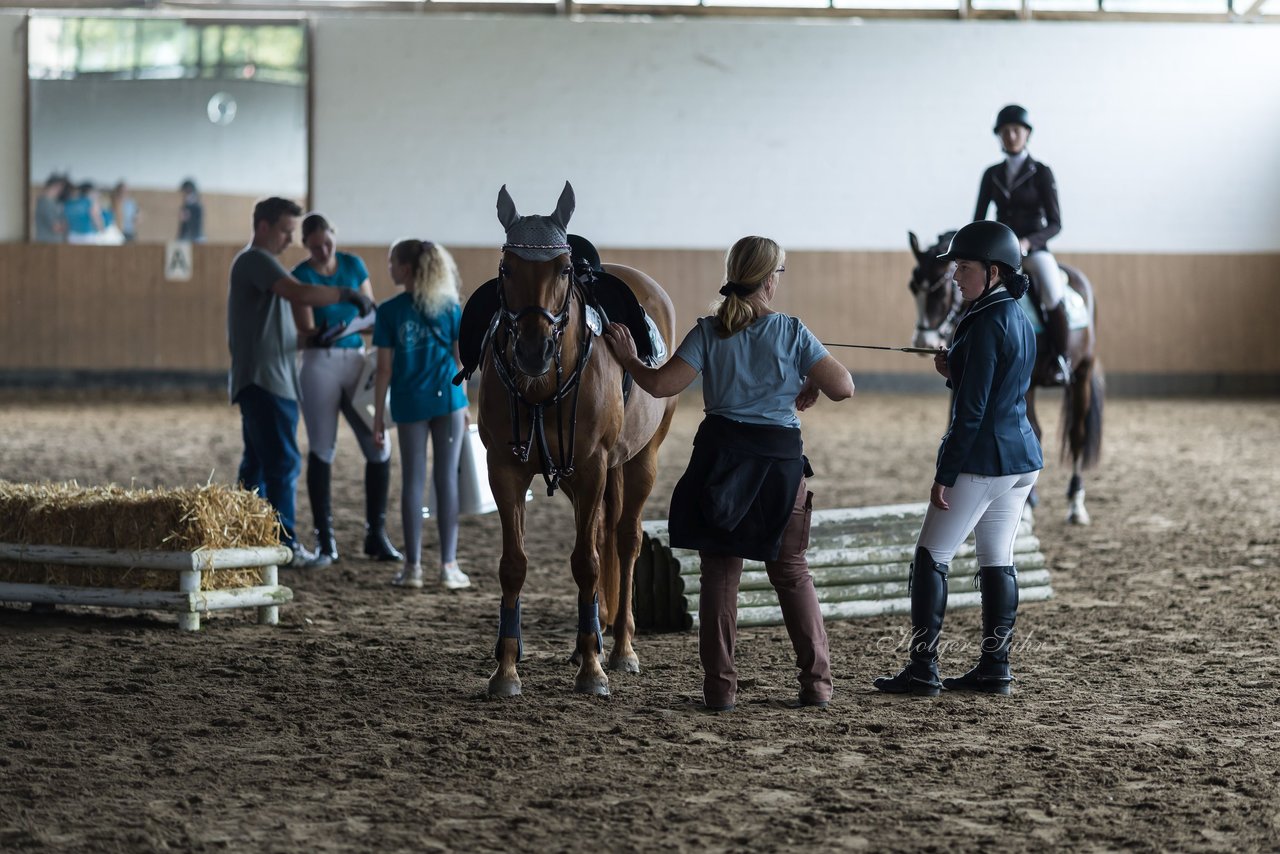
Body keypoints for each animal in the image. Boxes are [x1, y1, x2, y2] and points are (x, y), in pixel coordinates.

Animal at [481, 184, 680, 696]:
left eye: (564, 269)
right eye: (506, 267)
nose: (533, 350)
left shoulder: (592, 467)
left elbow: (588, 562)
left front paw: (593, 670)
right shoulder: (504, 469)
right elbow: (513, 563)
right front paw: (506, 668)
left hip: (640, 460)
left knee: (625, 539)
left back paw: (621, 647)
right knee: (601, 531)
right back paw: (586, 640)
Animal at [906, 230, 1105, 524]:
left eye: (941, 289)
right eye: (913, 288)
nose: (923, 342)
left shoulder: (1025, 381)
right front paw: (1027, 504)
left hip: (1082, 373)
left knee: (1077, 434)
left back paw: (1076, 504)